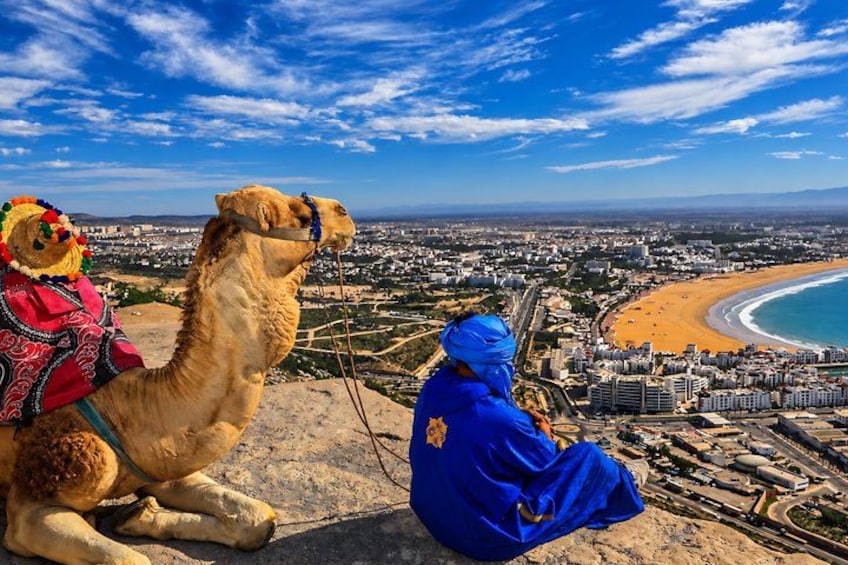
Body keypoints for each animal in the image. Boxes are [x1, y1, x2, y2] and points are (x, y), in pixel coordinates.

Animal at [0, 184, 356, 564]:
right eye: (298, 214)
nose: (344, 211)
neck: (128, 409)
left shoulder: (162, 462)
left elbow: (257, 518)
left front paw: (137, 515)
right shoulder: (34, 506)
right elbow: (131, 558)